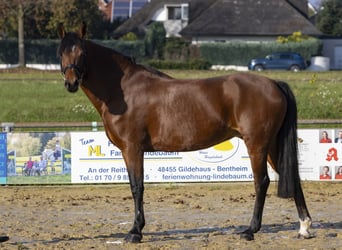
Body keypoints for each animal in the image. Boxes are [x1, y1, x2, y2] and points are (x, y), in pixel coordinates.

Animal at [57, 23, 312, 242]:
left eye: (82, 53)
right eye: (61, 52)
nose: (71, 83)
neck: (123, 92)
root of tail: (274, 83)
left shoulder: (132, 148)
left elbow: (137, 187)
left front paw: (136, 231)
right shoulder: (130, 151)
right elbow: (135, 185)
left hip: (257, 145)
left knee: (262, 182)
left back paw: (250, 230)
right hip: (272, 145)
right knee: (292, 177)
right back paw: (304, 227)